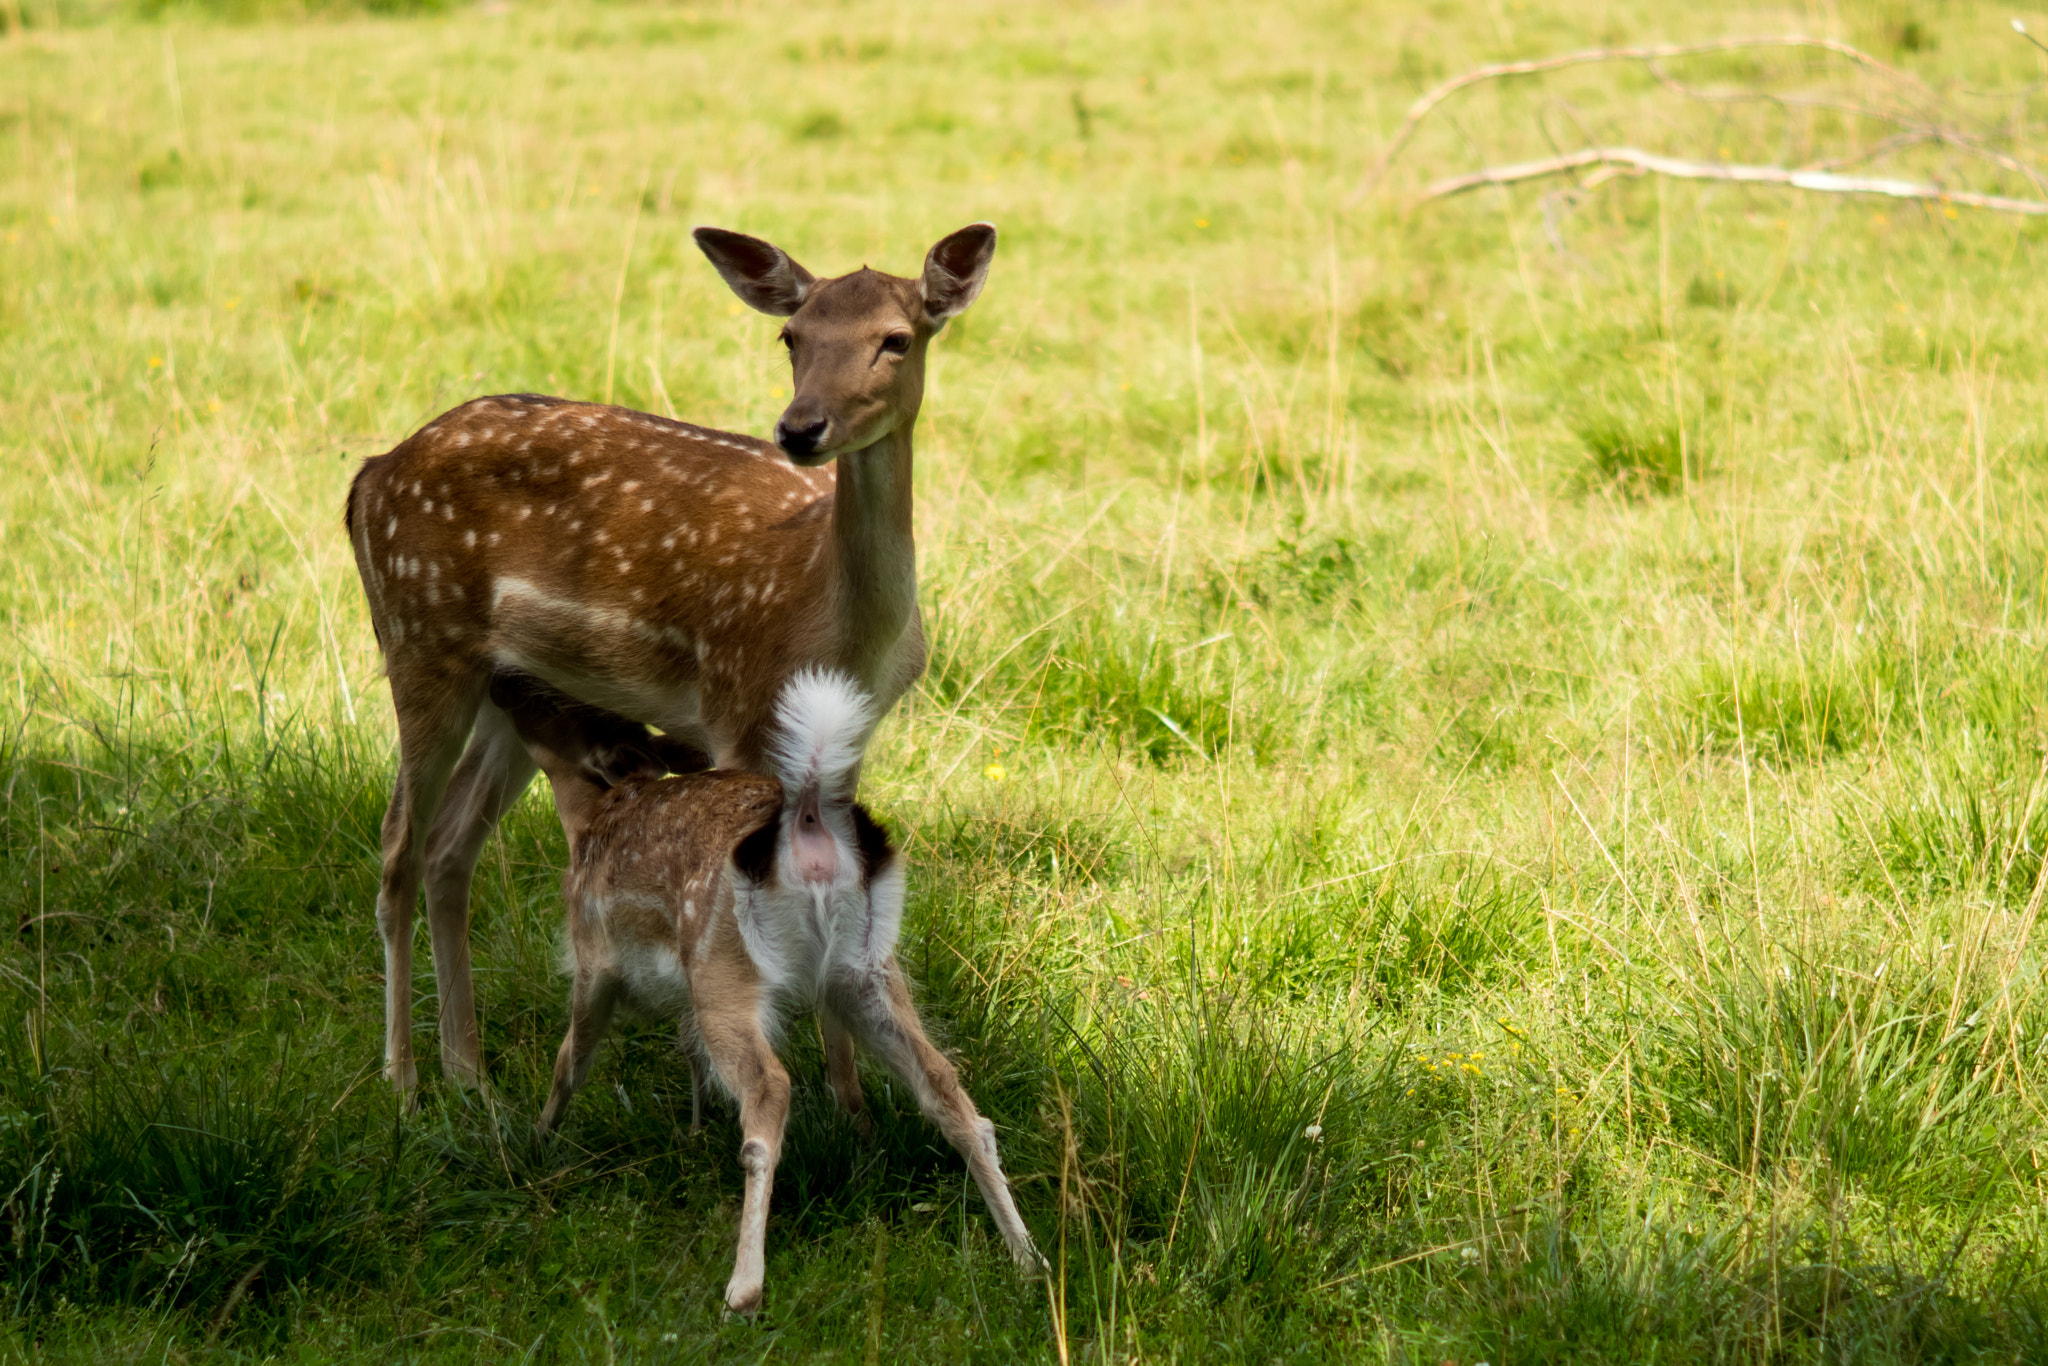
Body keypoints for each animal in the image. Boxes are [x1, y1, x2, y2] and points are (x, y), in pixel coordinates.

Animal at [346, 224, 999, 1097]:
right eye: (792, 337)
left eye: (896, 339)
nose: (801, 427)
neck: (836, 625)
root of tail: (369, 474)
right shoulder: (735, 706)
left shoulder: (855, 739)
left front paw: (849, 1099)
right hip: (419, 636)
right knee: (397, 850)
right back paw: (404, 1080)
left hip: (512, 688)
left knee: (452, 848)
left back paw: (470, 1074)